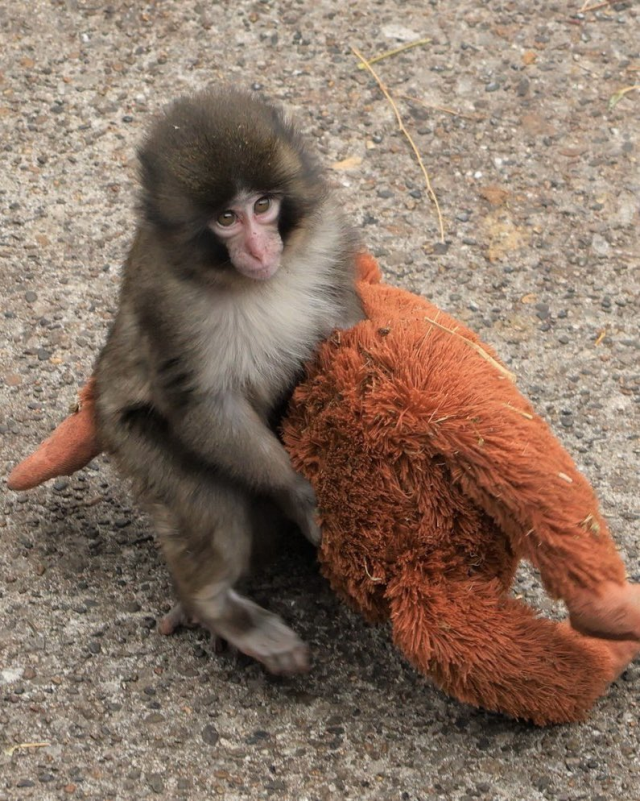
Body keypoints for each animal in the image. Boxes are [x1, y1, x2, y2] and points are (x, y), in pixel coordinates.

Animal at [94, 88, 365, 675]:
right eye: (225, 218)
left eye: (262, 207)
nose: (260, 250)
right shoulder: (167, 300)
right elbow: (203, 405)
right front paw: (298, 493)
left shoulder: (329, 240)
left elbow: (349, 328)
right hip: (130, 438)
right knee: (213, 507)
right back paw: (214, 605)